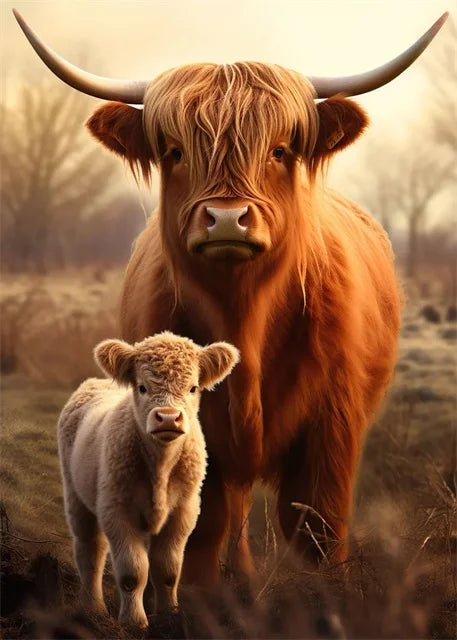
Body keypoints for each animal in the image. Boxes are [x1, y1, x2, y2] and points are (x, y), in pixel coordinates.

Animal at [15, 10, 448, 585]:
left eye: (280, 149)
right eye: (175, 151)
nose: (225, 218)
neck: (243, 314)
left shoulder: (332, 428)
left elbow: (318, 527)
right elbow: (201, 530)